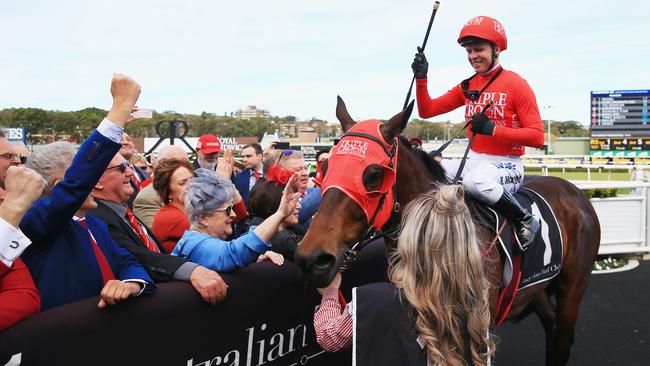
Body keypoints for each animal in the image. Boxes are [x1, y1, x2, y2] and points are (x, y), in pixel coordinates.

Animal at [294, 97, 596, 366]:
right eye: (325, 168)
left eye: (374, 175)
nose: (312, 258)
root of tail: (573, 191)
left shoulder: (476, 328)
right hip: (537, 290)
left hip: (573, 286)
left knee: (562, 339)